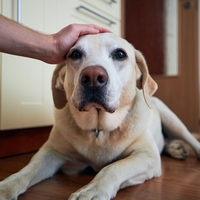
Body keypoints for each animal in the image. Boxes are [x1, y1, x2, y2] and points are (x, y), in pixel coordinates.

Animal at [0, 33, 200, 199]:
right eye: (75, 54)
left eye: (120, 54)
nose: (93, 77)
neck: (98, 128)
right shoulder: (51, 152)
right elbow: (27, 170)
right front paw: (5, 187)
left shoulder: (148, 155)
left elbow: (113, 167)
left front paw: (92, 191)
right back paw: (175, 148)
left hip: (171, 119)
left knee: (189, 138)